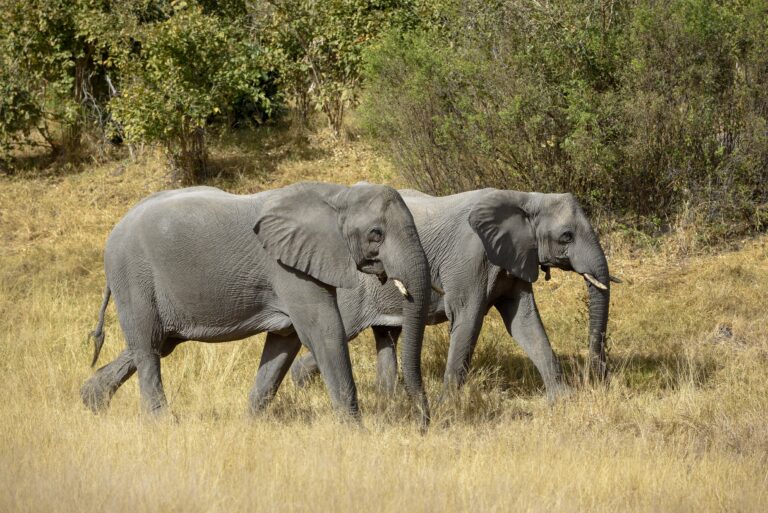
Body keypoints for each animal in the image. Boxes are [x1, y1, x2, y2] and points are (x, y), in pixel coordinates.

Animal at [81, 182, 436, 426]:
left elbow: (284, 343)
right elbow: (323, 333)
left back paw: (91, 401)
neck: (338, 195)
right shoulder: (287, 268)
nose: (423, 426)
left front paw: (249, 425)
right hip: (133, 276)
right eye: (376, 234)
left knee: (158, 343)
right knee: (148, 346)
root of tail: (116, 228)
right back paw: (162, 424)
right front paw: (355, 433)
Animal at [286, 188, 612, 400]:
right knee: (345, 329)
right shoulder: (470, 259)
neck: (525, 197)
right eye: (566, 237)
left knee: (386, 336)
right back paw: (300, 385)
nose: (597, 375)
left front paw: (563, 400)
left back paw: (388, 400)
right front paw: (448, 405)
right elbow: (468, 320)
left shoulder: (512, 259)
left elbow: (525, 322)